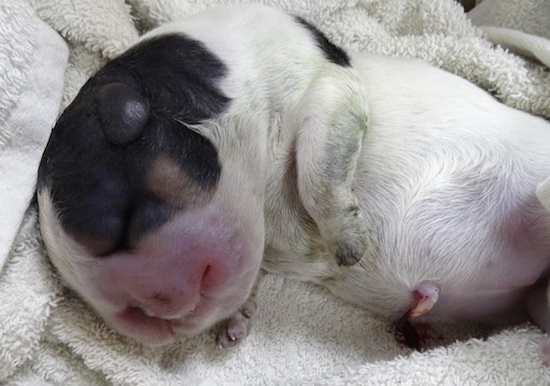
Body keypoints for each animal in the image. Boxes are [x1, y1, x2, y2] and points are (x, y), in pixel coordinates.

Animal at [37, 4, 550, 364]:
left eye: (121, 226)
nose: (150, 322)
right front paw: (237, 322)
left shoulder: (328, 87)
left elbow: (319, 169)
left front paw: (349, 242)